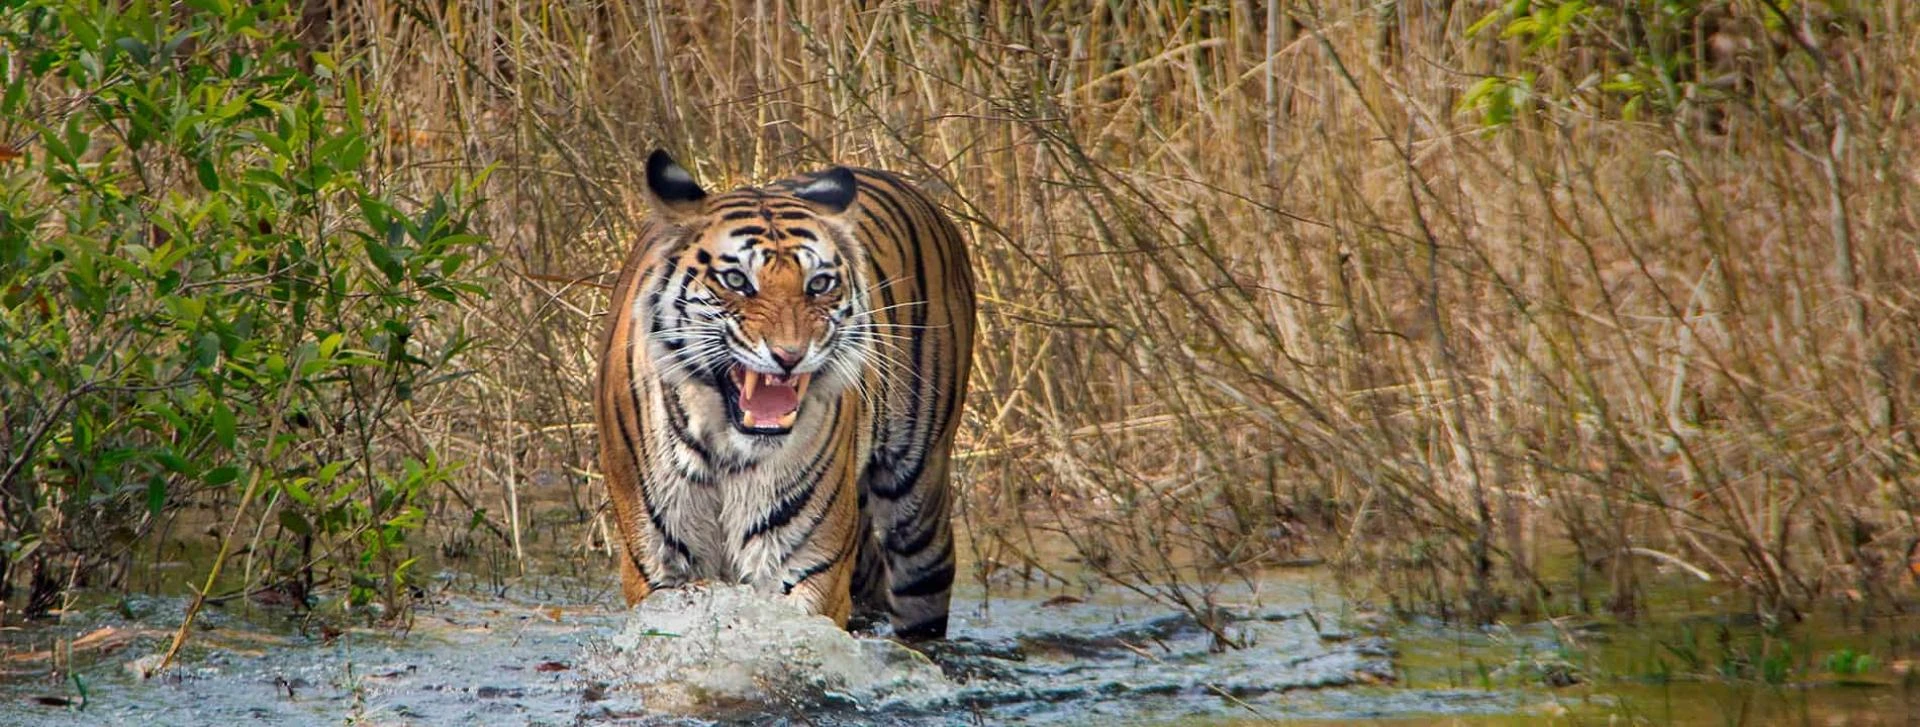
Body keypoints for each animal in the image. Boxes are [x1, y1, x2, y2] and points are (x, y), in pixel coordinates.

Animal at [593, 149, 975, 640]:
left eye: (819, 284)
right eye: (737, 280)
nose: (790, 355)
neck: (726, 450)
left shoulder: (805, 564)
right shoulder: (658, 564)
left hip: (917, 498)